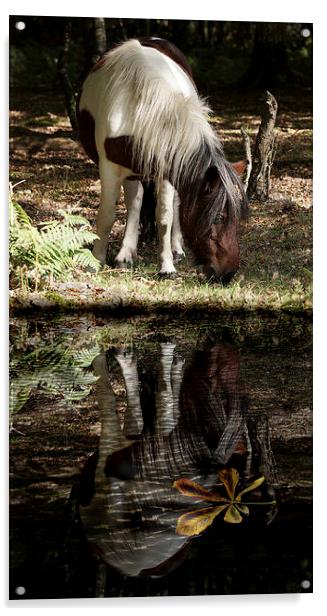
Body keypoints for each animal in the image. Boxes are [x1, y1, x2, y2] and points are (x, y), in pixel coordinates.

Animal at [78, 36, 247, 282]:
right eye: (218, 217)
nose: (228, 273)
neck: (137, 104)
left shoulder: (168, 168)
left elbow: (165, 217)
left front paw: (166, 266)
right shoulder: (109, 167)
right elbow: (107, 215)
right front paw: (96, 261)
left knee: (172, 204)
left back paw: (175, 249)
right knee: (135, 202)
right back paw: (125, 255)